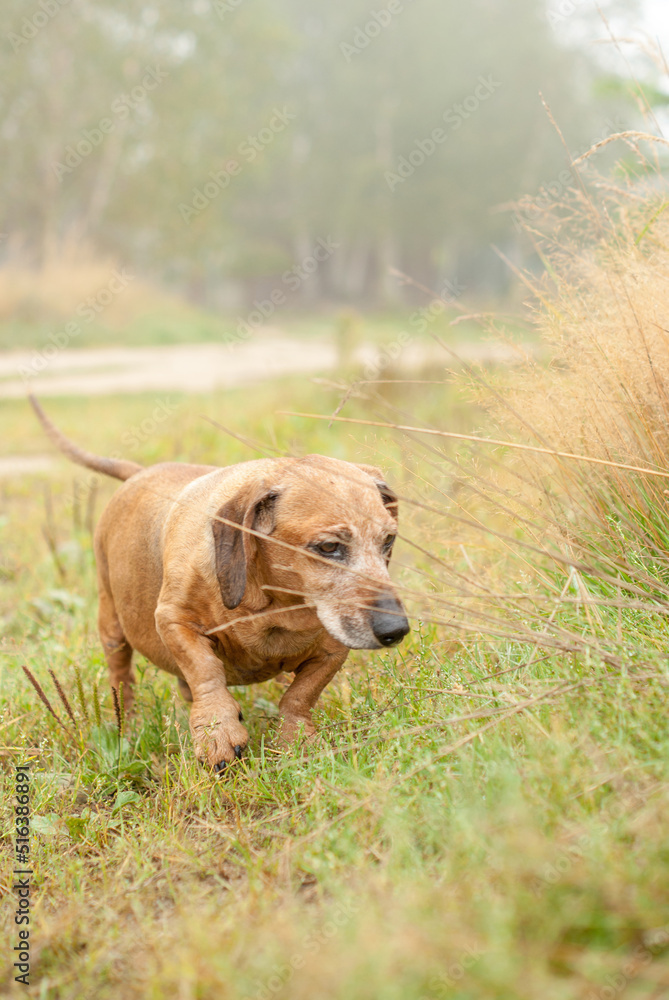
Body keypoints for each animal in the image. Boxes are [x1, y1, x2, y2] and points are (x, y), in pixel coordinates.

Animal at [31, 394, 410, 768]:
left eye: (388, 540)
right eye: (329, 547)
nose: (395, 630)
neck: (272, 606)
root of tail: (139, 472)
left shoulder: (332, 650)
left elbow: (300, 696)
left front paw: (295, 739)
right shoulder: (173, 621)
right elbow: (206, 671)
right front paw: (218, 731)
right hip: (111, 626)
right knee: (122, 680)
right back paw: (130, 725)